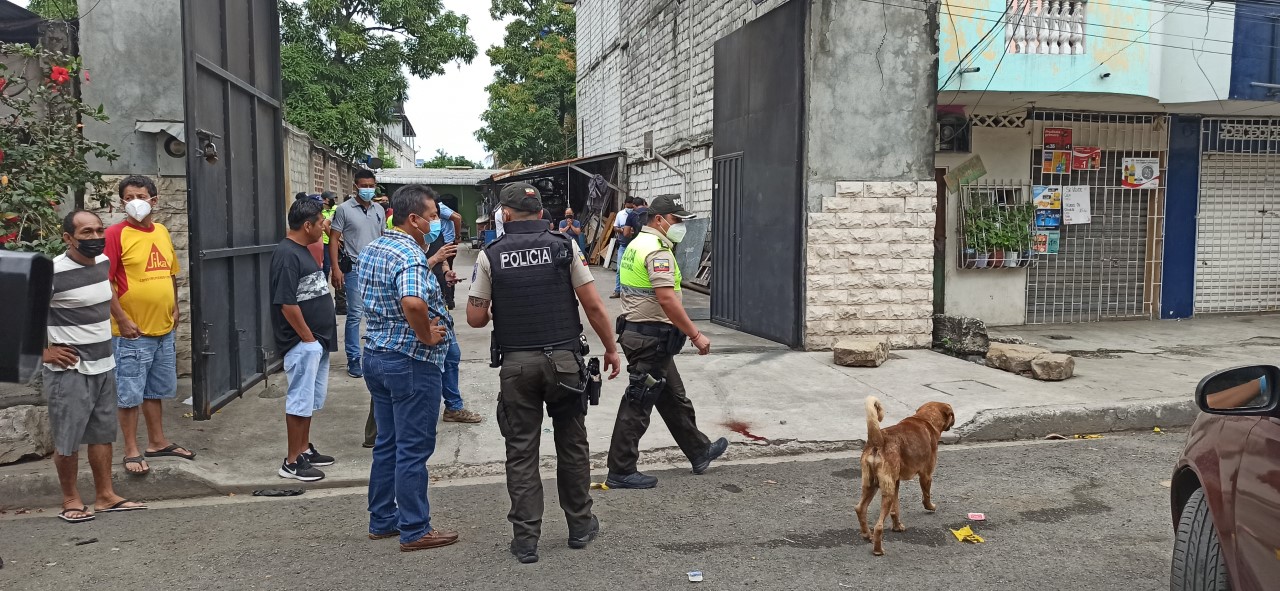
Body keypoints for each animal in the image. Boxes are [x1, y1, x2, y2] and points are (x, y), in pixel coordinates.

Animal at [855, 396, 957, 555]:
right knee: (879, 526)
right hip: (886, 491)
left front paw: (897, 527)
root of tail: (878, 441)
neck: (925, 419)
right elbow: (926, 496)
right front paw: (930, 507)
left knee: (860, 508)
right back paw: (878, 549)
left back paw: (867, 535)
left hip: (871, 485)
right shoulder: (926, 475)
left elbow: (895, 510)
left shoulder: (896, 482)